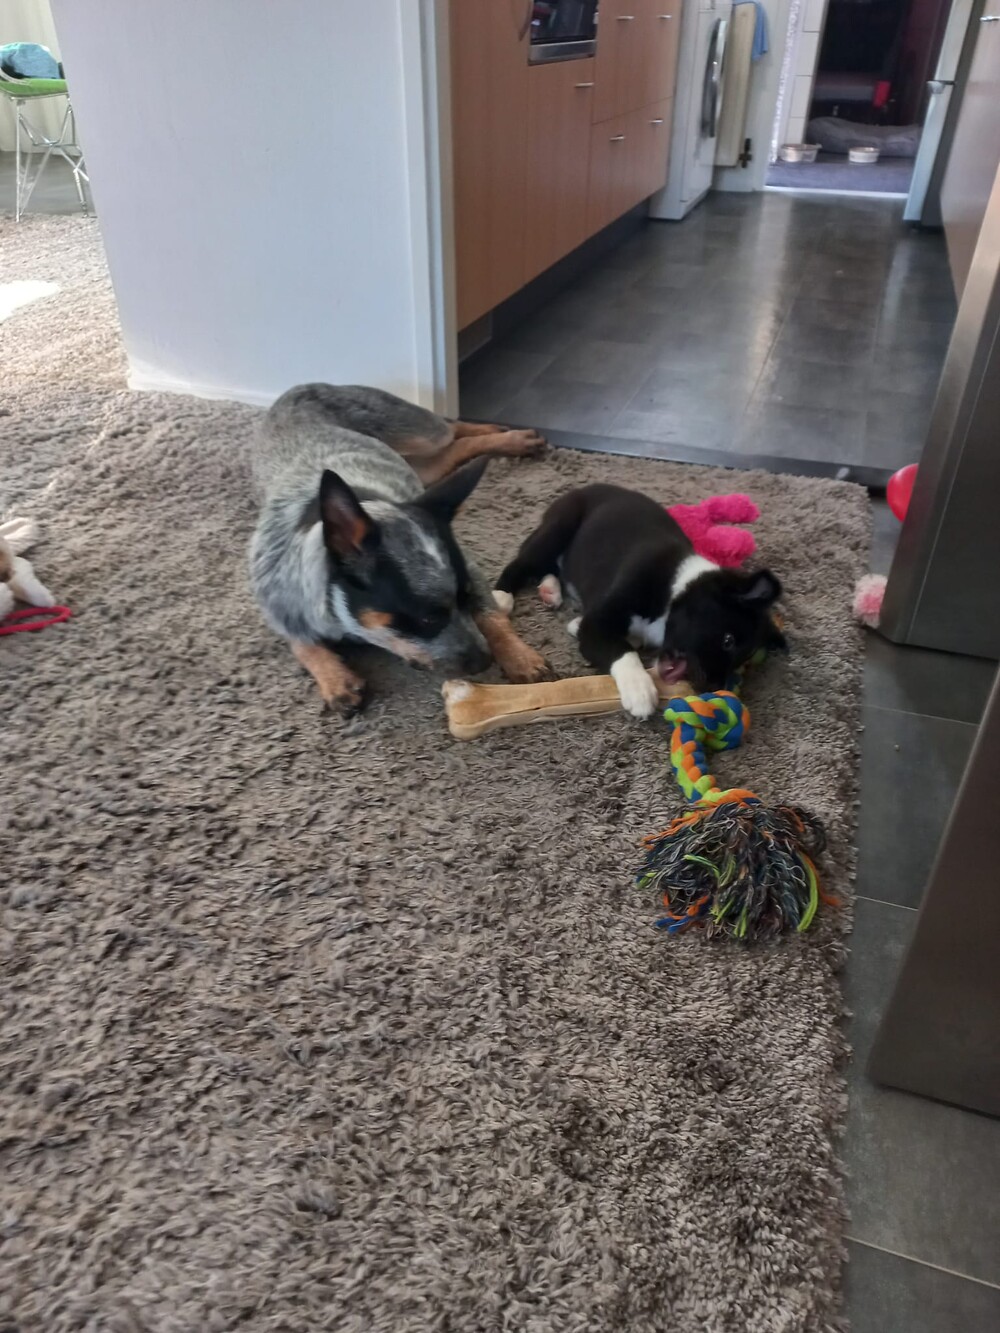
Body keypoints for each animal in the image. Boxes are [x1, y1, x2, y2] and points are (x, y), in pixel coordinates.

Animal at [249, 384, 549, 713]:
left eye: (465, 597)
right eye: (428, 619)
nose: (485, 661)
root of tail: (297, 388)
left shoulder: (472, 571)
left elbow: (491, 616)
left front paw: (519, 656)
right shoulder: (279, 608)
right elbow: (302, 644)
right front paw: (335, 679)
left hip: (414, 431)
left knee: (449, 427)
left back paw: (509, 436)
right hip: (422, 464)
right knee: (451, 449)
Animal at [495, 483, 785, 719]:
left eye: (742, 661)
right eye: (728, 641)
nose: (711, 689)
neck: (675, 591)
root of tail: (581, 488)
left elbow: (627, 640)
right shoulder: (598, 622)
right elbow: (622, 650)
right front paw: (639, 689)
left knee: (552, 567)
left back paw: (550, 589)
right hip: (560, 524)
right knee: (524, 561)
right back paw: (501, 596)